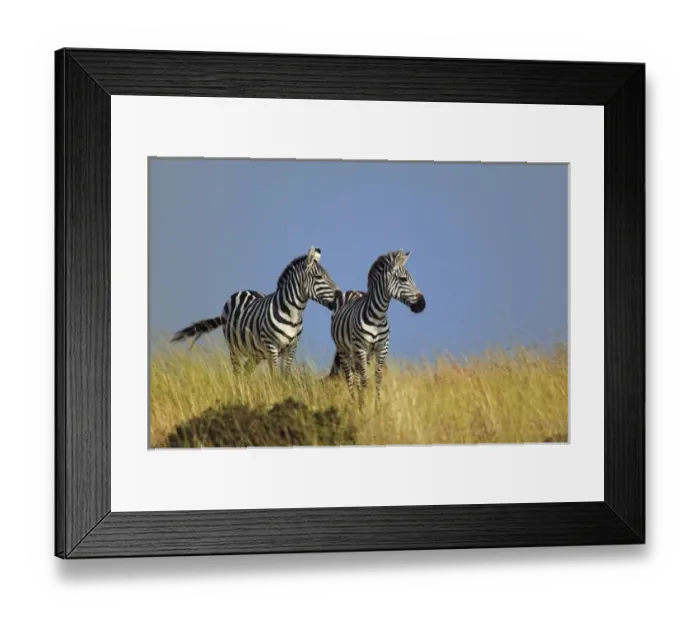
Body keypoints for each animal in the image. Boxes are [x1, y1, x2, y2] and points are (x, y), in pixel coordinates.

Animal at [171, 247, 340, 375]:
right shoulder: (272, 347)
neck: (293, 314)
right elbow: (274, 377)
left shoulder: (291, 348)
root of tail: (244, 290)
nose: (339, 295)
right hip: (234, 348)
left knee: (246, 371)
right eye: (319, 277)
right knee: (237, 372)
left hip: (256, 352)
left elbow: (285, 377)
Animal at [330, 249, 425, 399]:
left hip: (361, 353)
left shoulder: (381, 348)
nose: (422, 304)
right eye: (403, 279)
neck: (377, 316)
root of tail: (352, 291)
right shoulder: (361, 348)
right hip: (343, 349)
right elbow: (365, 379)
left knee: (357, 376)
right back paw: (354, 400)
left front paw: (376, 403)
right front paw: (366, 403)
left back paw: (359, 399)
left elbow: (377, 378)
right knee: (350, 377)